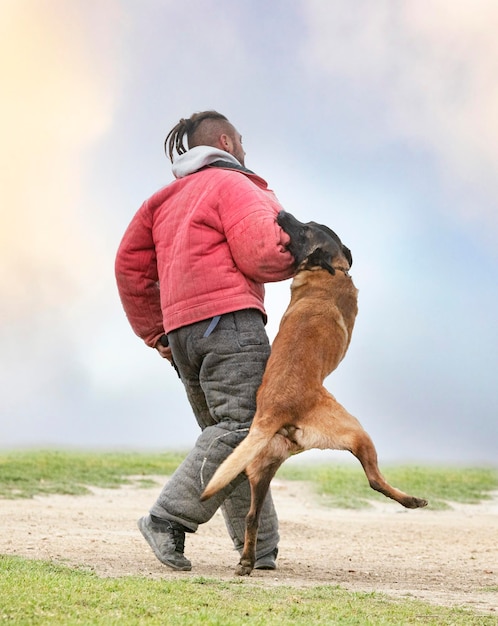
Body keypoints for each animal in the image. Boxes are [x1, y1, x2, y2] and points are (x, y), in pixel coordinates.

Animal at [200, 210, 426, 576]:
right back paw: (413, 500)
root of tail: (271, 413)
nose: (280, 213)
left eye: (305, 228)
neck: (327, 270)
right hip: (355, 430)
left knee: (251, 516)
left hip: (262, 467)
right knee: (374, 480)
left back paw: (247, 562)